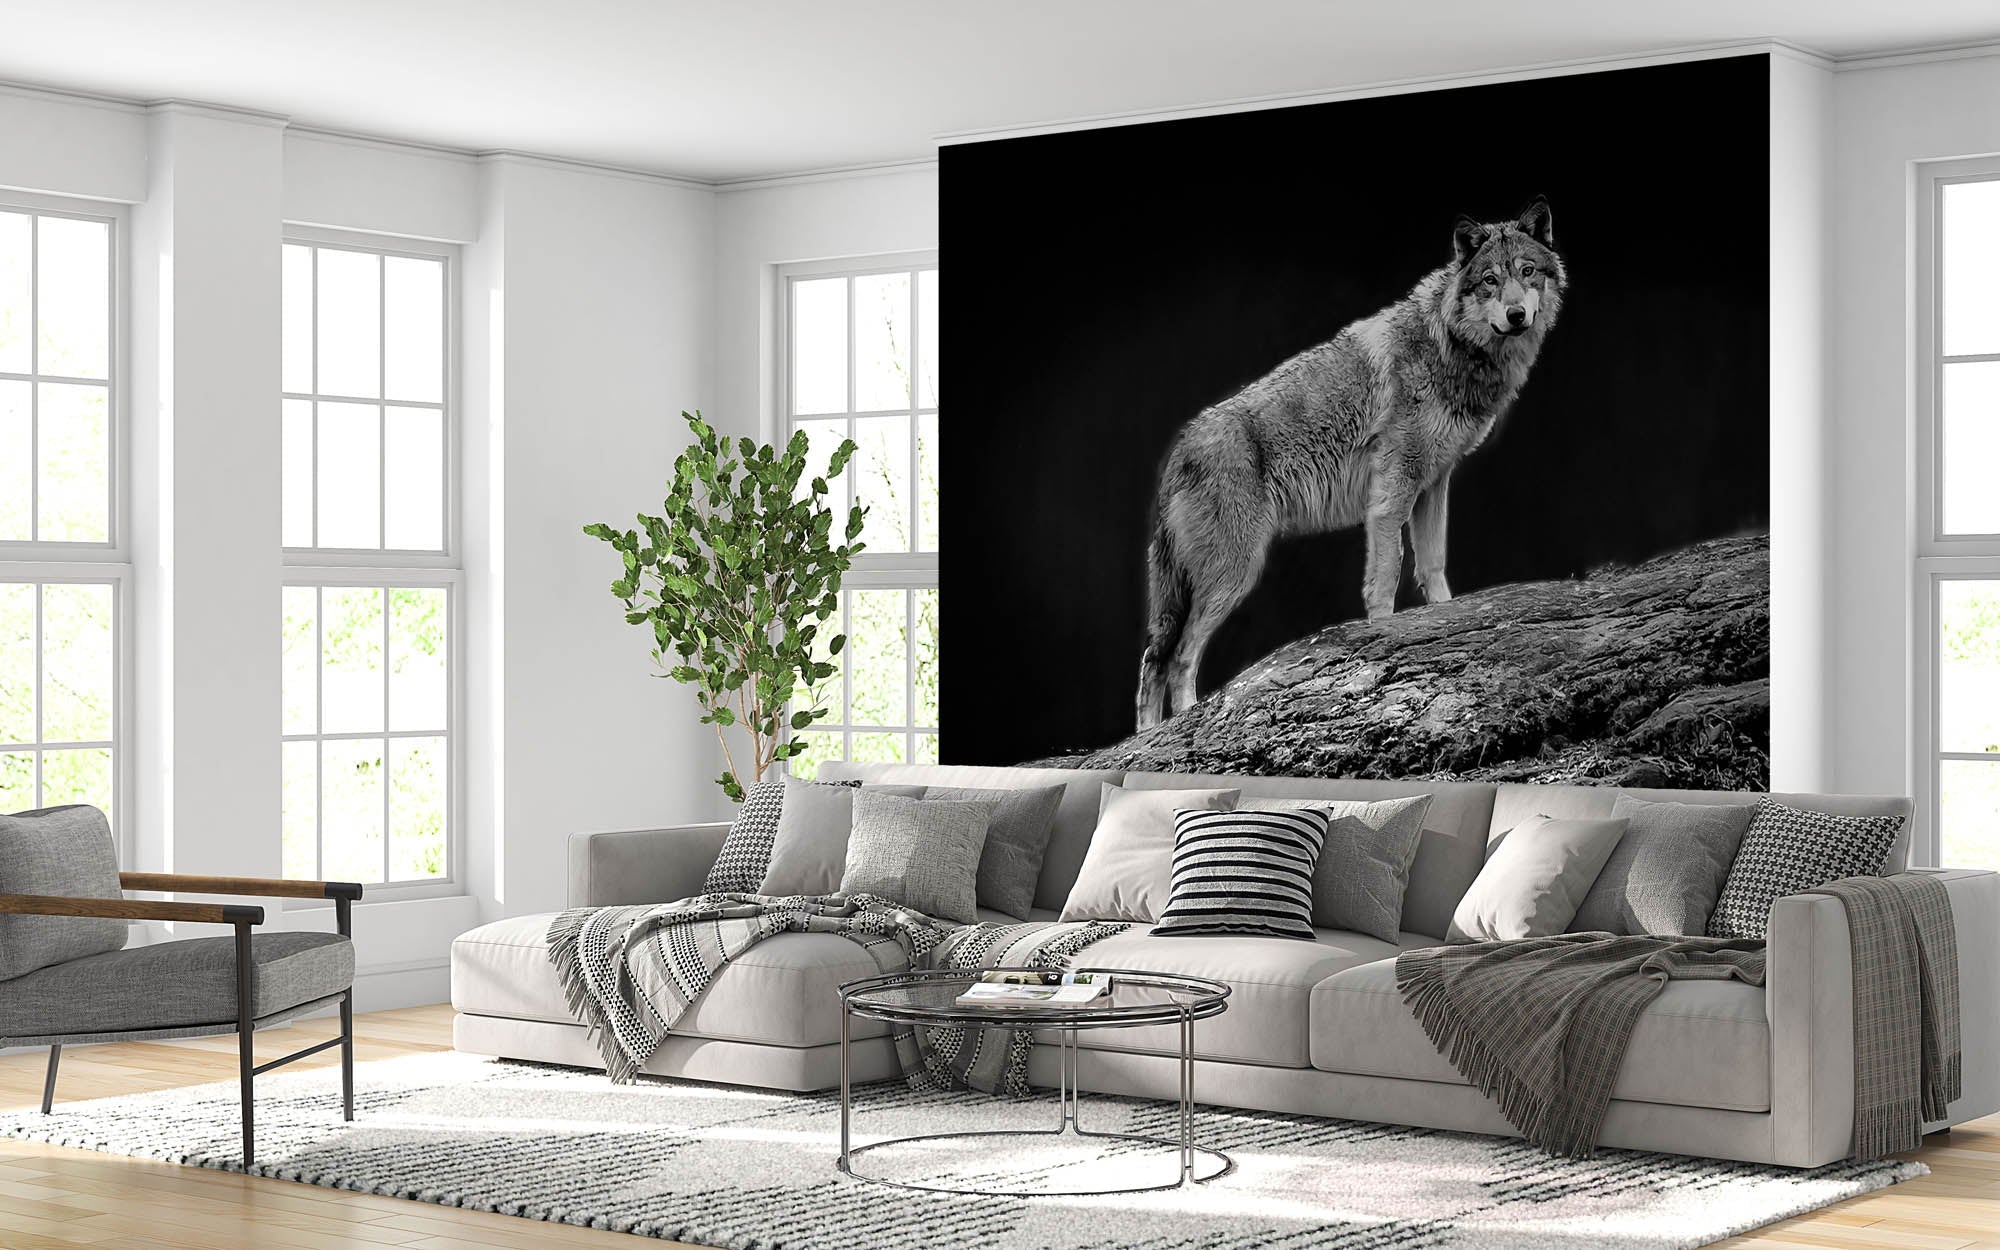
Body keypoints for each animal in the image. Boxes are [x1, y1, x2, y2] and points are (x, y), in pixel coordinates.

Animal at [1135, 197, 1565, 729]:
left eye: (1527, 272)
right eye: (1489, 279)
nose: (1516, 314)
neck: (1449, 344)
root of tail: (1179, 449)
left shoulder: (1434, 483)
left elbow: (1434, 567)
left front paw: (1444, 622)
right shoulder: (1391, 494)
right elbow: (1386, 576)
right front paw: (1384, 635)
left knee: (1152, 661)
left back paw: (1147, 739)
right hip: (1234, 575)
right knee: (1177, 658)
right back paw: (1183, 723)